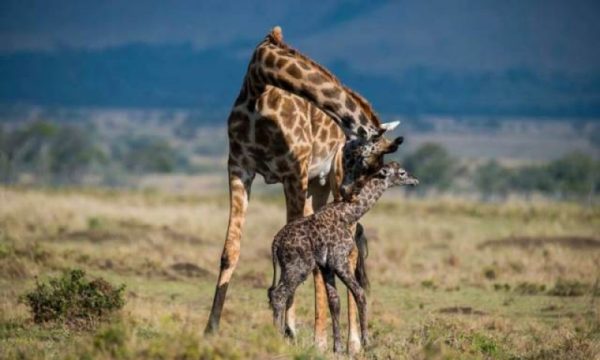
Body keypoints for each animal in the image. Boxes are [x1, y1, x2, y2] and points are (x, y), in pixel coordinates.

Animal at [206, 26, 404, 352]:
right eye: (366, 160)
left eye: (374, 166)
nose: (353, 194)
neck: (259, 84)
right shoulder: (238, 166)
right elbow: (230, 250)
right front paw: (211, 328)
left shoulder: (294, 170)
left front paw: (290, 329)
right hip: (319, 187)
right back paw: (325, 339)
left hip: (327, 181)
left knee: (351, 251)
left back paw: (350, 343)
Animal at [270, 161, 420, 352]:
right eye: (401, 173)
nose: (415, 180)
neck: (349, 214)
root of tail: (276, 243)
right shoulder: (339, 261)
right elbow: (360, 294)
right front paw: (366, 344)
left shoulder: (326, 266)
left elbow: (334, 302)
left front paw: (338, 348)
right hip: (298, 267)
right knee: (279, 295)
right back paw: (277, 339)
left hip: (286, 268)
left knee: (276, 294)